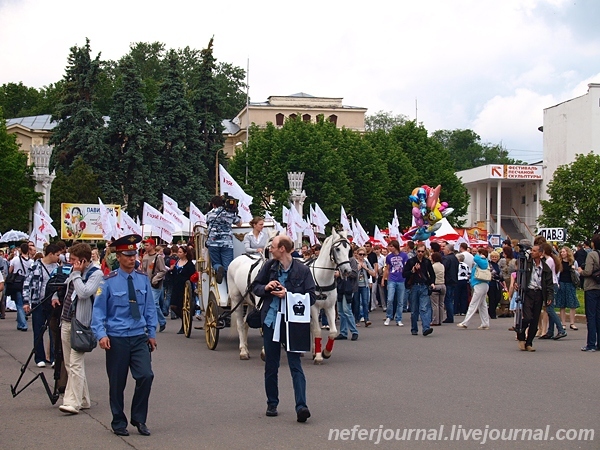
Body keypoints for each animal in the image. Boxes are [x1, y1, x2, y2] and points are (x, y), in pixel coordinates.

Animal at [308, 230, 354, 364]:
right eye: (337, 249)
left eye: (348, 249)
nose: (347, 271)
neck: (322, 278)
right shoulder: (314, 308)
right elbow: (317, 330)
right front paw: (319, 356)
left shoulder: (330, 307)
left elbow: (333, 331)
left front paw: (326, 352)